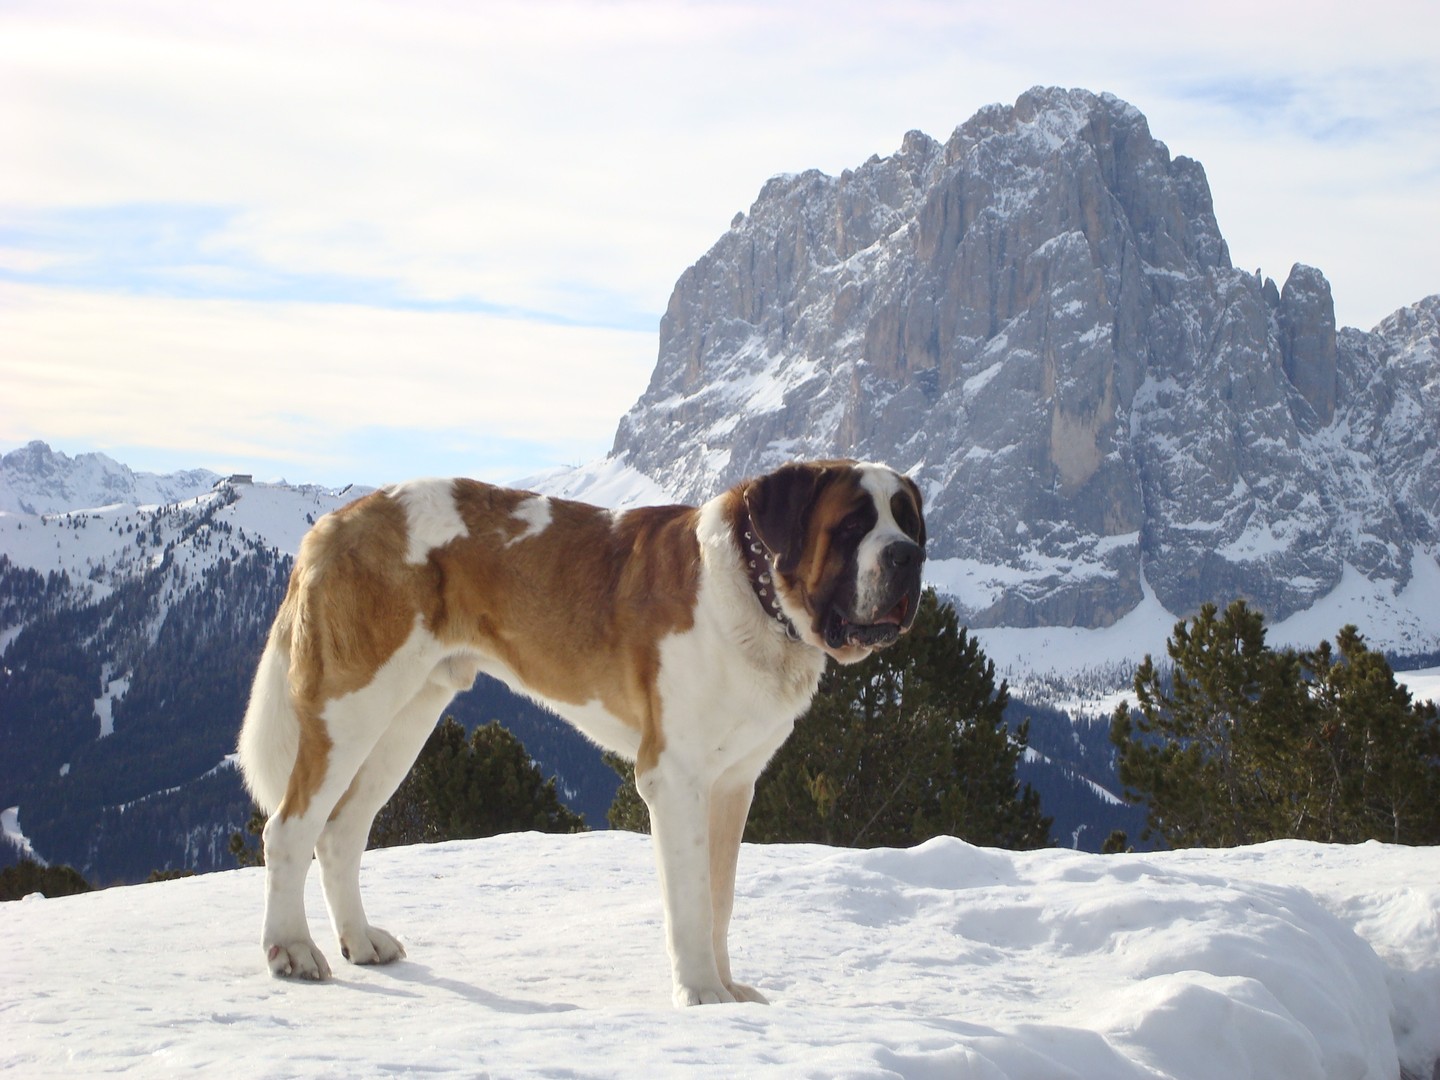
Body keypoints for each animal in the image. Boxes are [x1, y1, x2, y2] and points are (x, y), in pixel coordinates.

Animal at [236, 457, 921, 1008]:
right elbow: (692, 900)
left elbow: (720, 897)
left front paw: (731, 992)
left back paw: (360, 941)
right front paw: (702, 995)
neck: (757, 593)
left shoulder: (733, 783)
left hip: (407, 715)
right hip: (351, 705)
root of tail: (336, 520)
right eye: (852, 525)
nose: (907, 556)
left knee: (341, 831)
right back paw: (291, 950)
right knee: (290, 829)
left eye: (909, 522)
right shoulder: (675, 778)